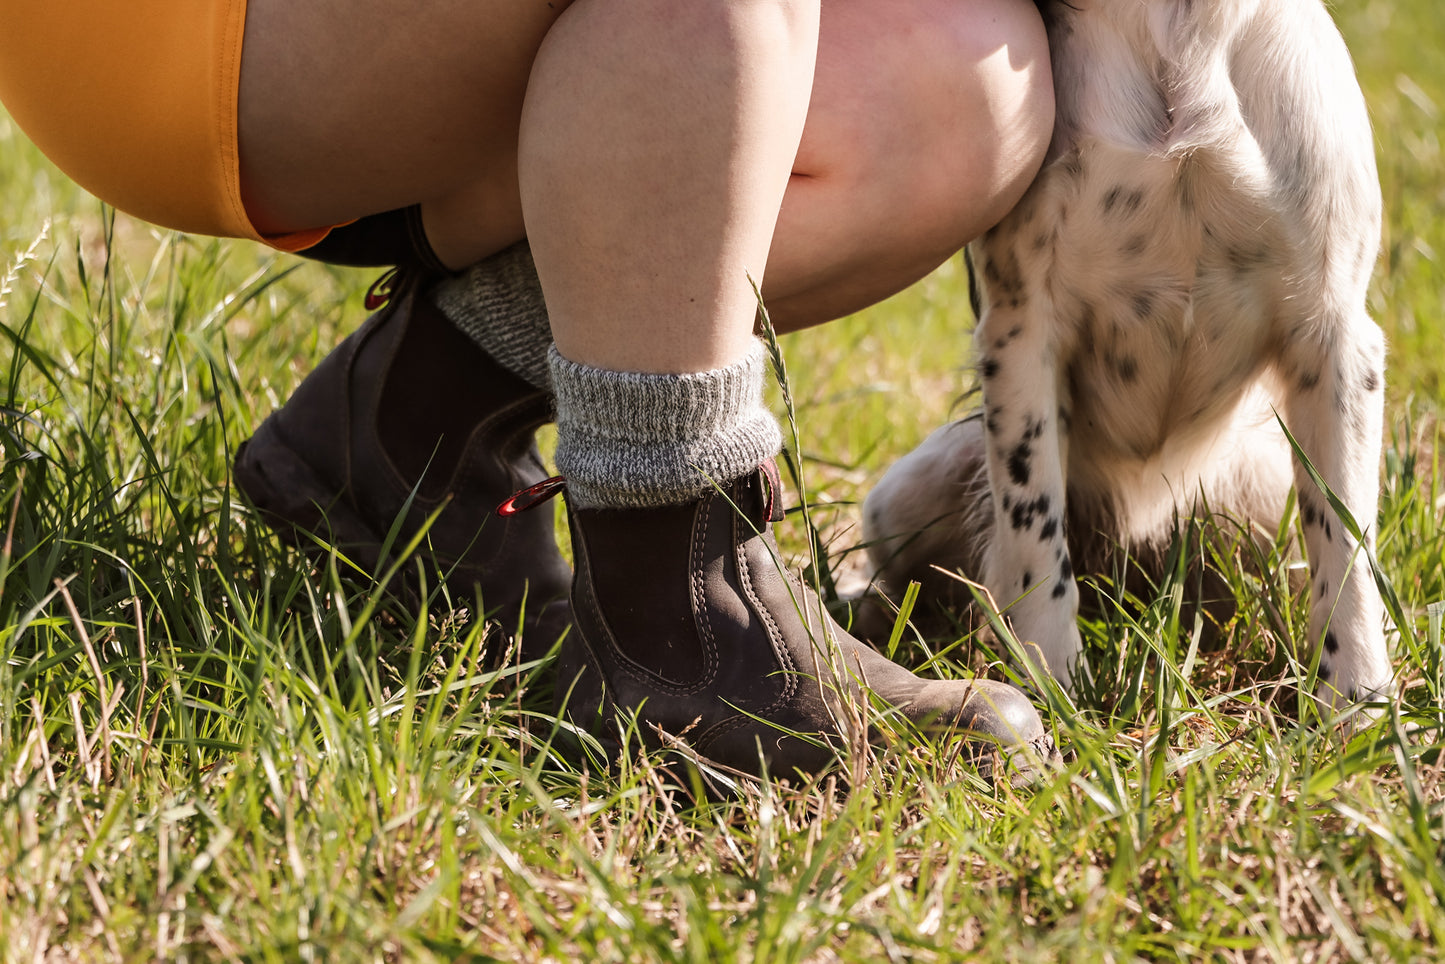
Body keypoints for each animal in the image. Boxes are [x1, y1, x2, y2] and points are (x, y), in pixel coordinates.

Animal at [861, 0, 1392, 708]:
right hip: (905, 494)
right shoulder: (1023, 328)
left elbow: (1344, 533)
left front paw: (1358, 702)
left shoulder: (1334, 336)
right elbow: (1034, 529)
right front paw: (1052, 684)